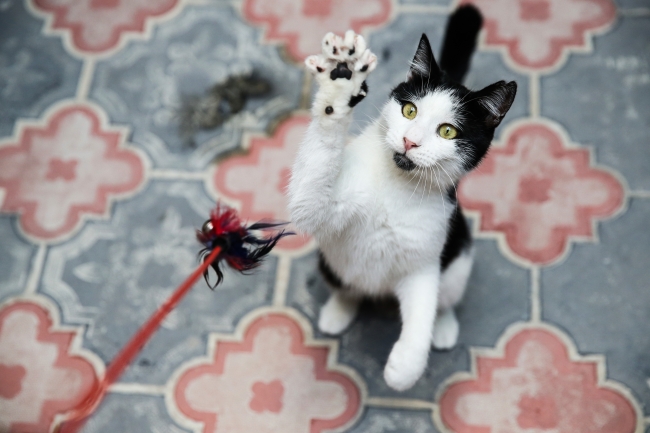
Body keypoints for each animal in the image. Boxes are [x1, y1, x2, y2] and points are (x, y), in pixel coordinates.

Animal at [287, 5, 516, 391]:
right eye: (409, 110)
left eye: (448, 131)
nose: (410, 141)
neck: (397, 184)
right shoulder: (318, 204)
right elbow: (309, 197)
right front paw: (338, 88)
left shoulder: (424, 257)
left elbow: (423, 305)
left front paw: (405, 368)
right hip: (329, 260)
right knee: (346, 284)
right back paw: (339, 309)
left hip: (459, 257)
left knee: (445, 296)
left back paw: (444, 326)